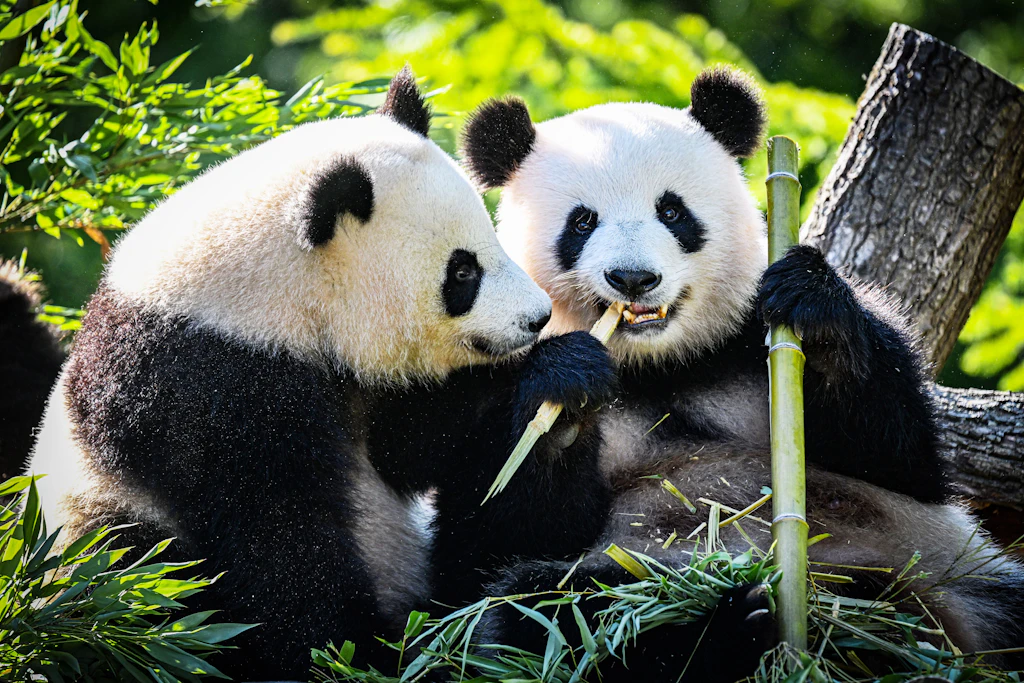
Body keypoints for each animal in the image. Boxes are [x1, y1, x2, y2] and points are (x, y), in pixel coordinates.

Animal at [27, 68, 616, 679]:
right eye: (462, 273)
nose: (537, 317)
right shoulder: (205, 386)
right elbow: (279, 541)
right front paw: (351, 653)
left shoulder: (372, 391)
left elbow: (445, 460)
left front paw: (563, 389)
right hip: (101, 543)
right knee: (144, 582)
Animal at [458, 67, 1024, 680]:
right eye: (582, 222)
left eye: (673, 212)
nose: (633, 278)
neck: (660, 364)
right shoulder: (485, 386)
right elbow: (500, 531)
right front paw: (564, 397)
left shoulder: (748, 340)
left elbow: (900, 458)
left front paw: (816, 308)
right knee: (547, 610)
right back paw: (738, 624)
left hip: (952, 566)